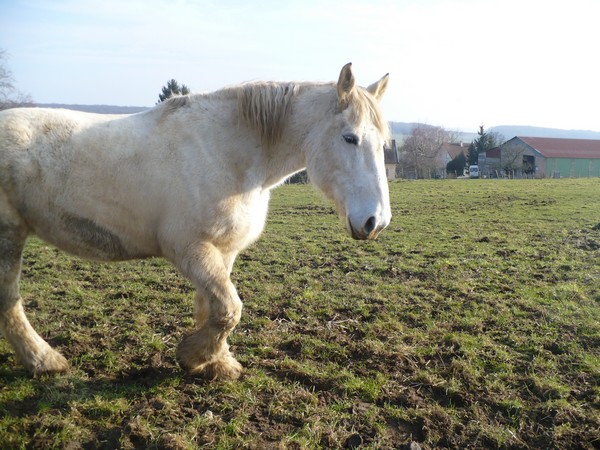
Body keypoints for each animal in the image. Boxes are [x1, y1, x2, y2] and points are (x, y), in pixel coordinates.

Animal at [0, 63, 392, 380]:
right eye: (350, 138)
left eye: (384, 143)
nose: (376, 221)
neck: (227, 152)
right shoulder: (189, 248)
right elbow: (229, 309)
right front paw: (192, 356)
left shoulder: (222, 251)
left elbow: (213, 308)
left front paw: (216, 364)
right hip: (8, 238)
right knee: (9, 299)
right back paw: (44, 361)